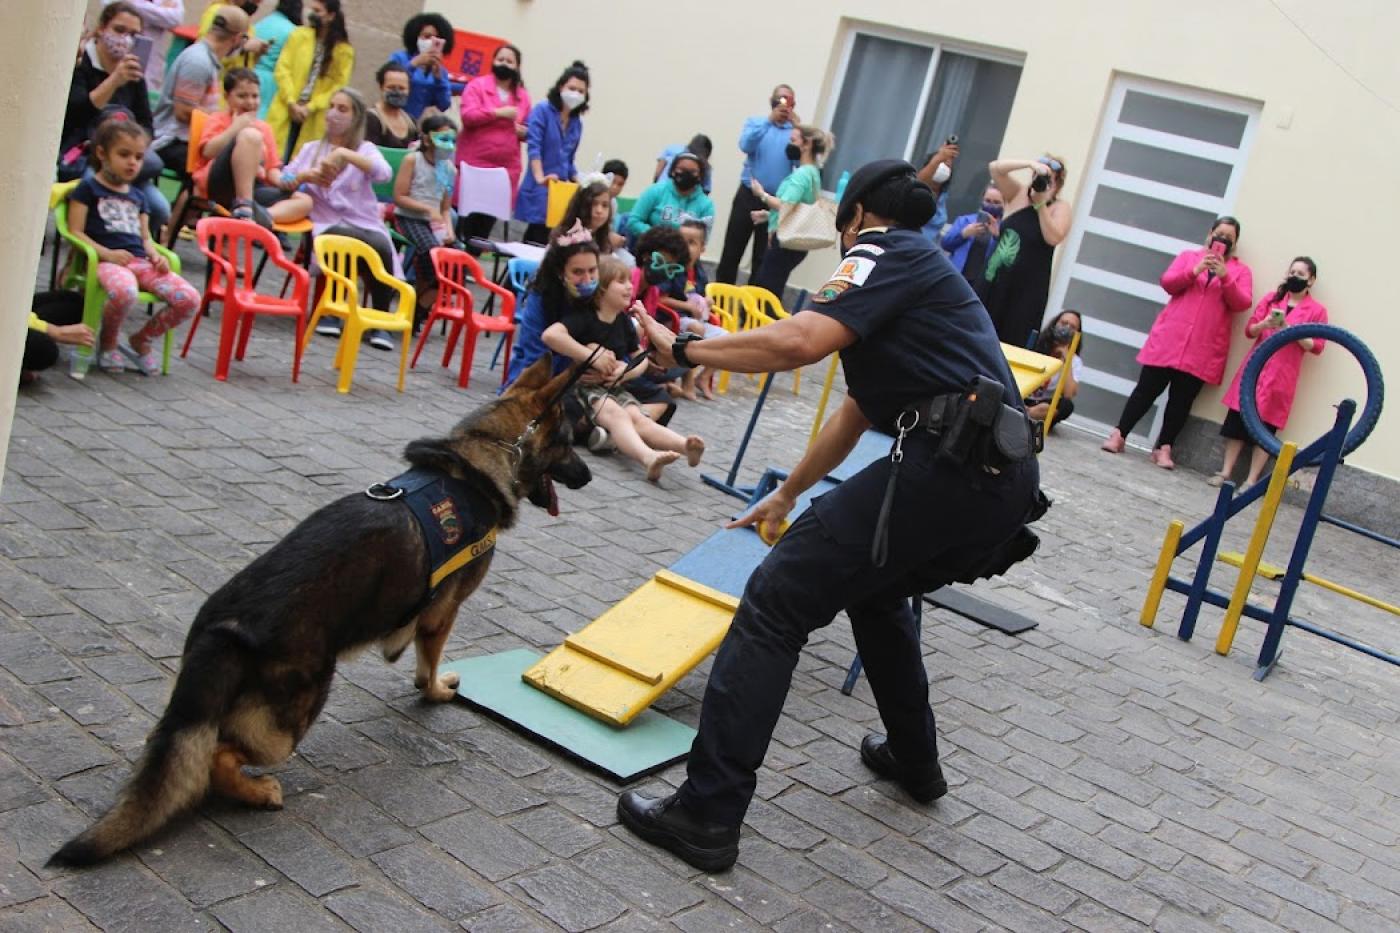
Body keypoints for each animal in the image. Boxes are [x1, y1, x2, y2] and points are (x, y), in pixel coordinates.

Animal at [49, 355, 590, 862]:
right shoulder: (444, 613)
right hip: (294, 714)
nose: (587, 477)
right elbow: (429, 661)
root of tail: (225, 624)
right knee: (217, 757)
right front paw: (436, 691)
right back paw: (257, 792)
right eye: (569, 442)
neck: (486, 449)